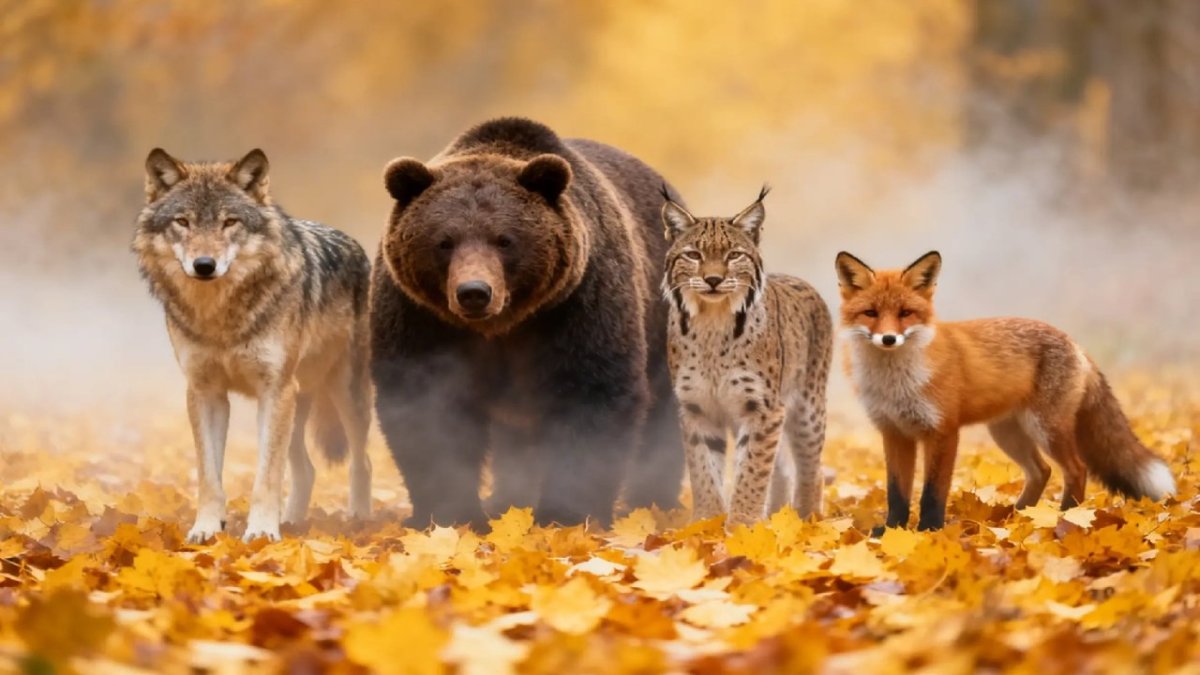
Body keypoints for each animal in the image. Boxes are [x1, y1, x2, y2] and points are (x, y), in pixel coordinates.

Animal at [134, 147, 373, 542]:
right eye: (183, 222)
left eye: (230, 222)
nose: (204, 265)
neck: (220, 317)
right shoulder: (205, 392)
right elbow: (209, 476)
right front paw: (206, 529)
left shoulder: (273, 391)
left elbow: (266, 476)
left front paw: (261, 533)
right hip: (297, 404)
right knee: (306, 469)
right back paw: (292, 522)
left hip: (343, 395)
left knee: (362, 460)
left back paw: (358, 520)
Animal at [370, 117, 684, 528]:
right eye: (444, 241)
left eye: (504, 239)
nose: (474, 292)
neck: (503, 325)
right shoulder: (420, 317)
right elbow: (427, 406)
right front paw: (451, 515)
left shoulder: (578, 303)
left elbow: (589, 393)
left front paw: (567, 515)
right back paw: (508, 499)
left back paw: (652, 502)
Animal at [835, 250, 1175, 532]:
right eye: (871, 313)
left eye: (905, 313)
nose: (888, 339)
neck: (894, 383)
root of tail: (1074, 342)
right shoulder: (895, 433)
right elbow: (897, 493)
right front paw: (893, 531)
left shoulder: (942, 431)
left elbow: (932, 492)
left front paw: (929, 531)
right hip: (1008, 433)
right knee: (1041, 471)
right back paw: (1016, 518)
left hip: (1046, 428)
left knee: (1077, 470)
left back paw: (1065, 518)